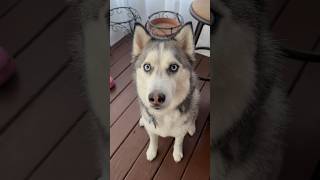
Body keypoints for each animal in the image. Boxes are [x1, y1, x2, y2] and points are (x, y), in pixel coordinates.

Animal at [131, 22, 199, 163]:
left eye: (173, 67)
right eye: (147, 67)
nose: (156, 98)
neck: (163, 115)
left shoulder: (180, 131)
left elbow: (178, 141)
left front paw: (177, 153)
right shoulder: (151, 129)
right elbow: (153, 139)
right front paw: (152, 151)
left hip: (196, 95)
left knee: (193, 114)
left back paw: (191, 127)